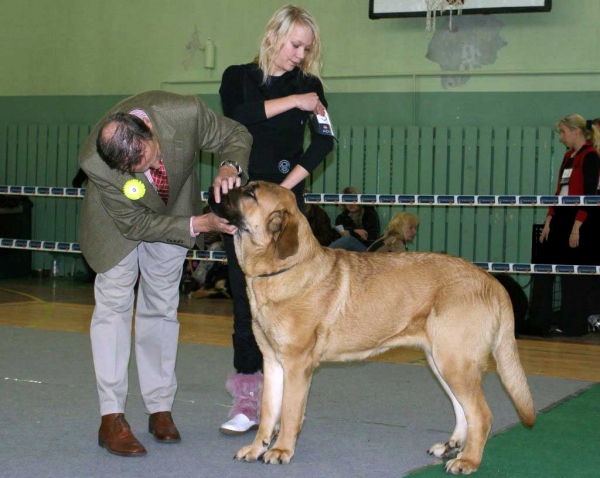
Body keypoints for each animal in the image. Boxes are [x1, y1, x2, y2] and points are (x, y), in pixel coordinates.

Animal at [207, 180, 536, 474]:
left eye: (251, 194)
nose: (216, 188)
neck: (280, 269)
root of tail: (490, 280)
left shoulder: (297, 365)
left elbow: (288, 413)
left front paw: (280, 450)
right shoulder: (273, 363)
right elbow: (268, 413)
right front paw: (257, 448)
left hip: (455, 362)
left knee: (481, 415)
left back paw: (467, 461)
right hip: (442, 361)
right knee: (463, 410)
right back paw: (451, 447)